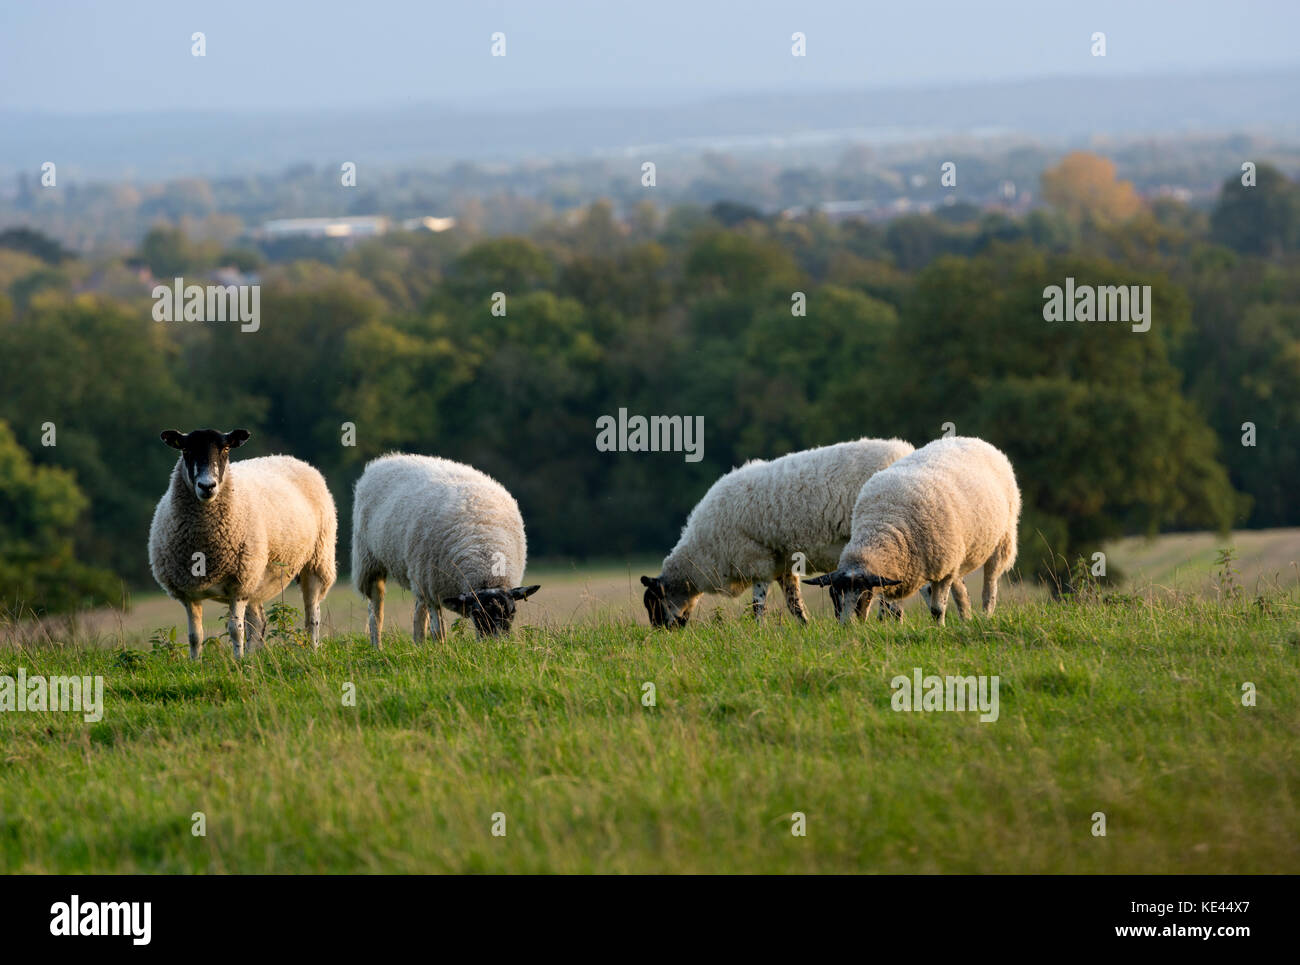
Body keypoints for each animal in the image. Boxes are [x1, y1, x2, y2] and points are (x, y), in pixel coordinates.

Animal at [145, 429, 338, 660]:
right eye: (185, 450)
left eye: (226, 449)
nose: (207, 486)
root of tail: (293, 459)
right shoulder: (189, 592)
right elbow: (194, 636)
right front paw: (195, 664)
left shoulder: (238, 584)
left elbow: (235, 630)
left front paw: (238, 661)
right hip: (257, 578)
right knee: (259, 623)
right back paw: (256, 657)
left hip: (317, 560)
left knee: (312, 615)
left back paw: (312, 650)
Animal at [351, 452, 538, 645]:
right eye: (477, 613)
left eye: (512, 612)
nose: (496, 645)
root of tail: (385, 459)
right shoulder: (433, 589)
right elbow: (438, 631)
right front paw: (440, 648)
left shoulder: (431, 584)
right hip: (370, 561)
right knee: (376, 610)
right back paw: (377, 645)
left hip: (418, 574)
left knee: (419, 612)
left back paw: (418, 644)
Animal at [639, 439, 915, 626]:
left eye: (654, 603)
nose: (662, 634)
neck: (701, 552)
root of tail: (904, 451)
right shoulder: (782, 564)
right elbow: (794, 603)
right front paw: (805, 627)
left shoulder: (755, 559)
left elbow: (757, 604)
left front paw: (758, 631)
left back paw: (889, 621)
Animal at [795, 436, 1019, 626]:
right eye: (834, 595)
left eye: (864, 595)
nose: (847, 627)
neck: (883, 522)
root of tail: (973, 439)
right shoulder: (902, 565)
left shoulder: (941, 570)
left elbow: (937, 609)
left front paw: (939, 629)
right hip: (957, 556)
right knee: (962, 592)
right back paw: (966, 619)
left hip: (1002, 540)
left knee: (990, 586)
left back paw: (986, 615)